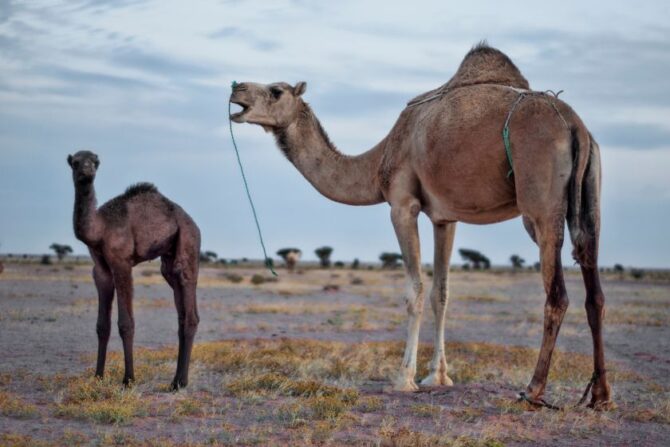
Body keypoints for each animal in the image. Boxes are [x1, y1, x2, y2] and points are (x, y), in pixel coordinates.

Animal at [67, 150, 200, 390]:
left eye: (94, 162)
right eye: (76, 162)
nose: (87, 171)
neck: (100, 228)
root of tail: (193, 223)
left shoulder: (122, 263)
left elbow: (126, 323)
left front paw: (128, 379)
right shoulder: (100, 269)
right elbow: (102, 325)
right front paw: (98, 376)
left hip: (189, 242)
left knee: (190, 306)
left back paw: (180, 383)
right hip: (169, 264)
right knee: (181, 311)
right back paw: (176, 380)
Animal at [229, 43, 612, 409]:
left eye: (276, 90)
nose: (236, 88)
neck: (378, 161)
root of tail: (576, 127)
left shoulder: (402, 205)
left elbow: (414, 290)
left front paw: (403, 378)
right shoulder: (446, 217)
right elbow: (441, 292)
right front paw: (438, 376)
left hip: (540, 205)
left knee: (557, 294)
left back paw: (533, 390)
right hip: (591, 196)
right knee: (594, 288)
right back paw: (600, 395)